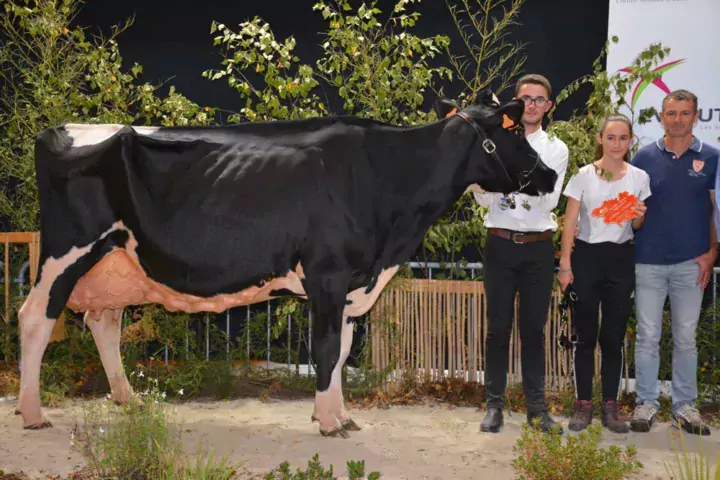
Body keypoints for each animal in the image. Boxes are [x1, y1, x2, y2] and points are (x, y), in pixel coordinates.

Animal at [15, 91, 556, 438]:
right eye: (514, 134)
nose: (550, 175)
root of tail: (61, 129)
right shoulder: (329, 275)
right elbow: (327, 348)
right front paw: (330, 422)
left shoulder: (351, 284)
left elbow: (342, 351)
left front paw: (340, 415)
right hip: (67, 252)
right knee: (36, 318)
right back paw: (32, 411)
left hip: (115, 264)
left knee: (101, 321)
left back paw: (128, 399)